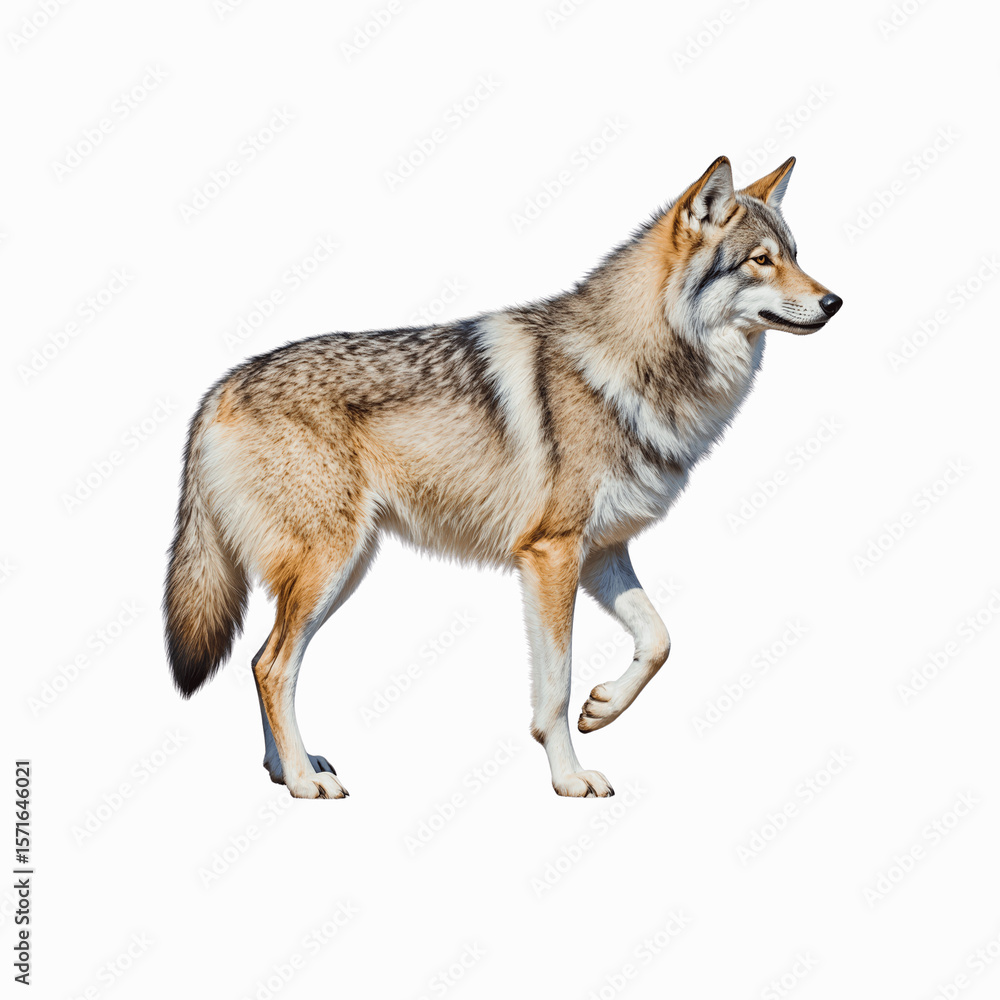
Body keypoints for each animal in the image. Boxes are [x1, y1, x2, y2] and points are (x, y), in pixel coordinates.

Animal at [164, 155, 842, 799]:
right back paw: (306, 781)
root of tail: (219, 387)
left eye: (795, 256)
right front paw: (570, 778)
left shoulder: (602, 552)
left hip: (343, 573)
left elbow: (660, 640)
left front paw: (604, 708)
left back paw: (286, 770)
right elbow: (556, 688)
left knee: (261, 660)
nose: (835, 301)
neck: (635, 366)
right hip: (330, 568)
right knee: (273, 667)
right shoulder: (550, 555)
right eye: (760, 260)